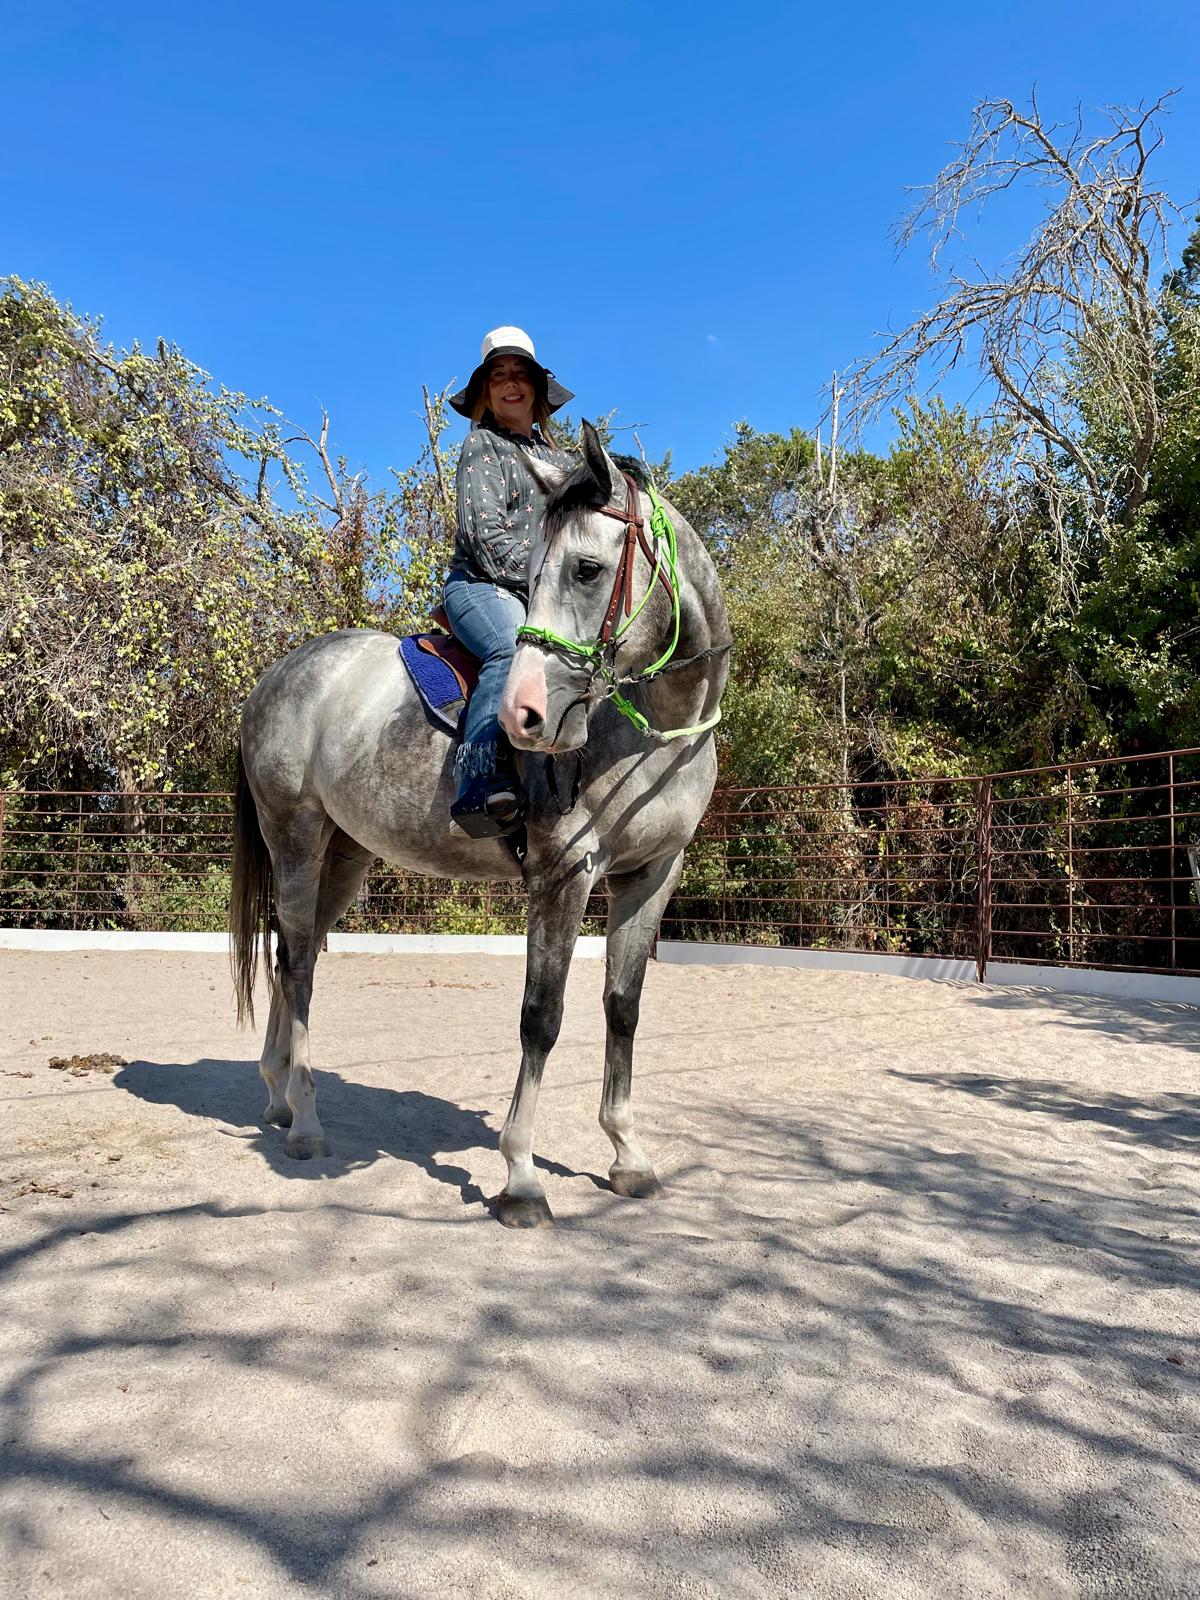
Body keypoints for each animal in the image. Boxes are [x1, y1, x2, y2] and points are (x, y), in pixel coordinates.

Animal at [229, 421, 730, 1227]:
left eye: (587, 568)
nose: (526, 716)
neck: (651, 732)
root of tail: (280, 675)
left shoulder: (652, 876)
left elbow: (622, 1007)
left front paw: (628, 1155)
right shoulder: (564, 876)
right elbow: (542, 1017)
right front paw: (521, 1178)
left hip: (345, 856)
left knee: (286, 956)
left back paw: (277, 1097)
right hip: (295, 838)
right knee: (300, 961)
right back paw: (304, 1121)